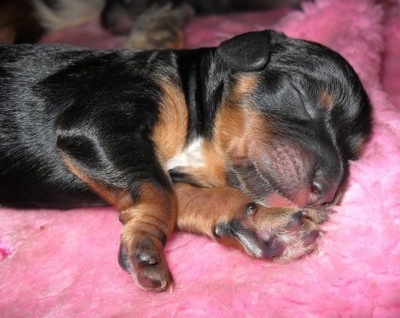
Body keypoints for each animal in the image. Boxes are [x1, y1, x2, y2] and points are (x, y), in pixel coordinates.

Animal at [0, 31, 372, 292]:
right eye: (301, 95)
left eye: (353, 153)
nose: (328, 193)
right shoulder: (98, 121)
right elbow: (158, 193)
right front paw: (146, 242)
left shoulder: (171, 174)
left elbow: (183, 197)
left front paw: (260, 222)